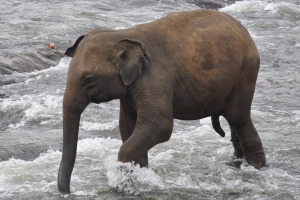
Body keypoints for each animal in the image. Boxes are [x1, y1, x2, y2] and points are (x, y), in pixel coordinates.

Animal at [57, 9, 266, 194]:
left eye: (88, 79)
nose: (67, 193)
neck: (122, 34)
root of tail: (246, 33)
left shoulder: (154, 77)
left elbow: (159, 125)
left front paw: (127, 182)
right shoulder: (130, 90)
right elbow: (127, 127)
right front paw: (139, 176)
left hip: (246, 72)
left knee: (239, 117)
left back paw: (256, 169)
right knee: (233, 121)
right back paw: (237, 164)